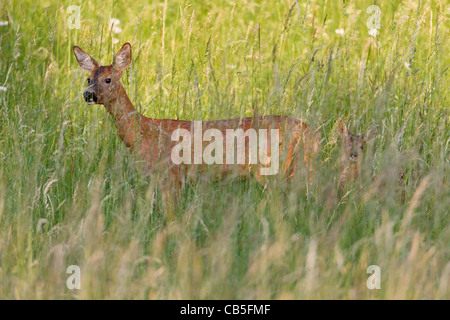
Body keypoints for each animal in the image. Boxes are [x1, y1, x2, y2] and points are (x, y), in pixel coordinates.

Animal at [73, 43, 320, 192]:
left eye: (108, 79)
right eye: (88, 78)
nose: (88, 94)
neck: (143, 132)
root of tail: (310, 133)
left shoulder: (171, 174)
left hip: (272, 169)